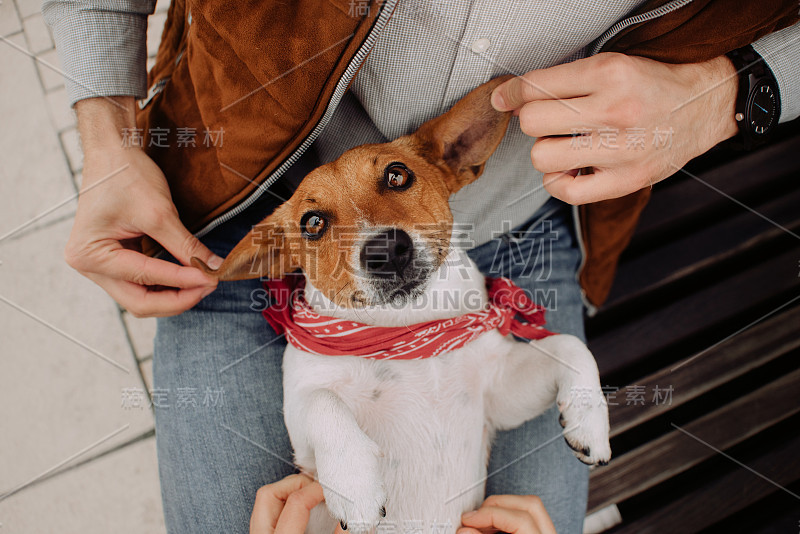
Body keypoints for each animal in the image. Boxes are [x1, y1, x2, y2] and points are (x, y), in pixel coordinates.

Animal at [197, 76, 608, 534]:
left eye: (397, 175)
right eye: (313, 223)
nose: (385, 250)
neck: (409, 326)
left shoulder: (498, 393)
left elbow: (570, 344)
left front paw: (590, 419)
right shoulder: (301, 429)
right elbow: (323, 402)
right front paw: (355, 485)